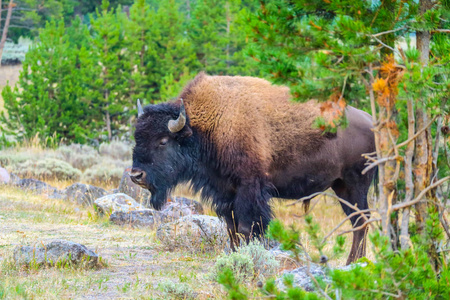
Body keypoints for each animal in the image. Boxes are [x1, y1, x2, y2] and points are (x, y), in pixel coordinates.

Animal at [131, 73, 376, 264]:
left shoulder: (249, 189)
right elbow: (231, 228)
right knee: (358, 221)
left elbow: (247, 227)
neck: (208, 126)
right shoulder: (225, 192)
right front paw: (234, 257)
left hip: (355, 184)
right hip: (341, 186)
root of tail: (370, 121)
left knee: (361, 221)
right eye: (137, 137)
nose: (135, 175)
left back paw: (354, 262)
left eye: (163, 141)